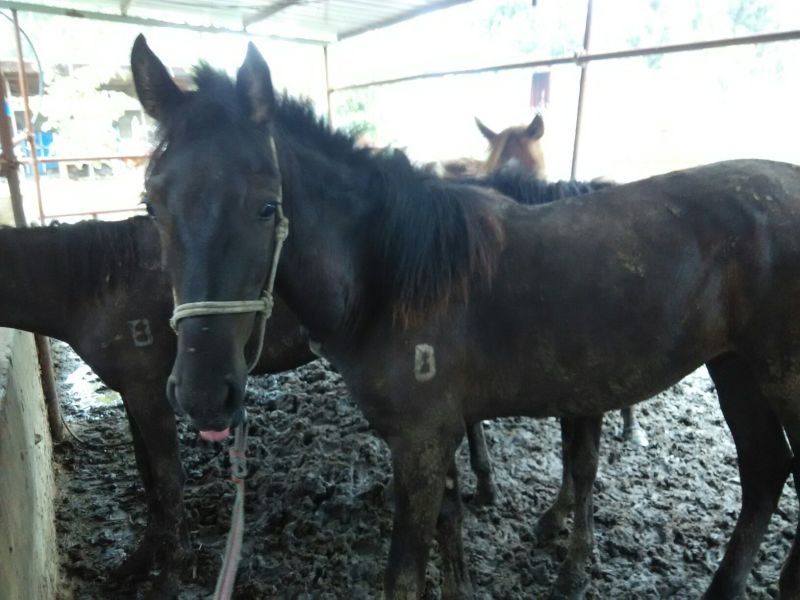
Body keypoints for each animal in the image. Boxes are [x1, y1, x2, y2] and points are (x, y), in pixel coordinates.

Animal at [133, 36, 800, 599]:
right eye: (151, 203)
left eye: (267, 206)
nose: (203, 394)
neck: (390, 279)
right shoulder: (440, 437)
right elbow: (451, 526)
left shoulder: (422, 444)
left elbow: (404, 576)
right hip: (736, 368)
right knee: (766, 471)